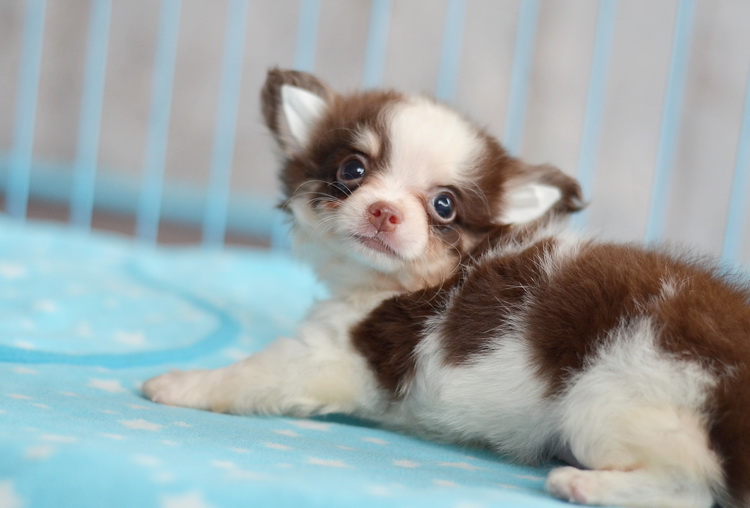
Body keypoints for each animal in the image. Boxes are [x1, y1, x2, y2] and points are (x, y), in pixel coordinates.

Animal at [143, 69, 749, 508]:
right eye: (352, 170)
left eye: (444, 206)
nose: (385, 211)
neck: (402, 281)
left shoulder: (332, 354)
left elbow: (252, 373)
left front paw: (181, 383)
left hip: (613, 397)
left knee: (691, 487)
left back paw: (583, 485)